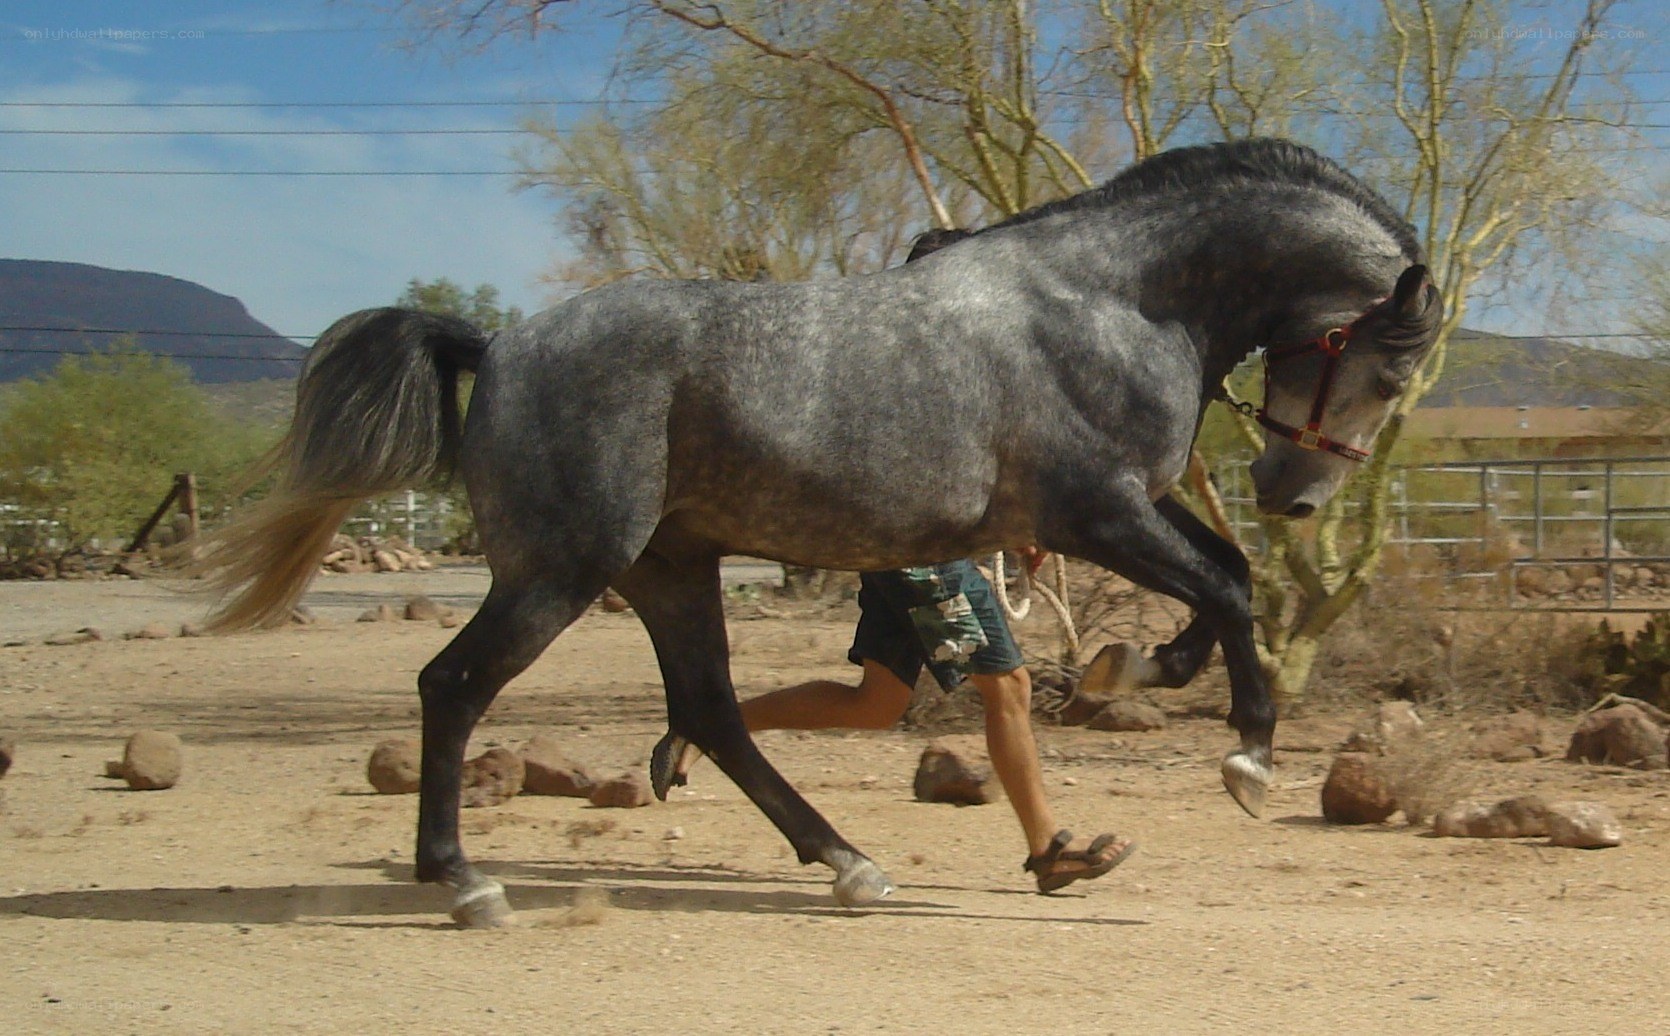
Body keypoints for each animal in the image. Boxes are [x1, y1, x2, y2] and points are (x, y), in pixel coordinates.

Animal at [193, 138, 1443, 926]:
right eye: (1388, 367)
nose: (1291, 492)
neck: (1117, 299)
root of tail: (496, 345)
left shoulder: (1118, 509)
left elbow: (1221, 575)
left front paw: (1141, 670)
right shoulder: (1095, 507)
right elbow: (1228, 587)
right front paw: (1245, 760)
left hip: (671, 569)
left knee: (707, 710)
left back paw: (847, 864)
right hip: (561, 570)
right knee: (453, 686)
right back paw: (463, 883)